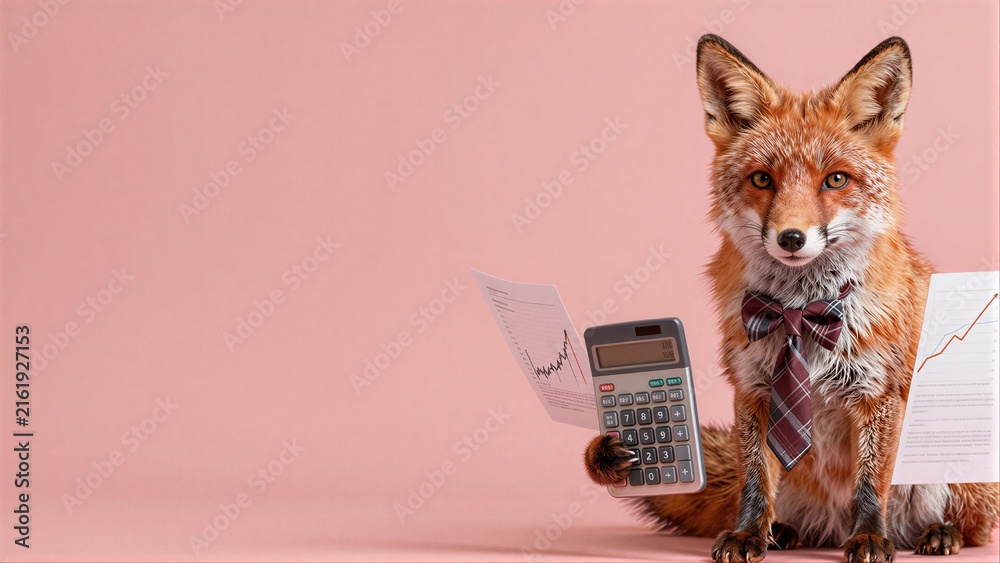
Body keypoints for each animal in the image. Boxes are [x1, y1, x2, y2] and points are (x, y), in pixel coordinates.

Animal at [583, 35, 999, 563]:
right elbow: (755, 479)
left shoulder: (878, 393)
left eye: (836, 179)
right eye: (763, 179)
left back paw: (937, 532)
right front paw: (748, 533)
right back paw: (783, 531)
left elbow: (870, 483)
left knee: (972, 525)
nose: (792, 238)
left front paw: (869, 537)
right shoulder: (752, 389)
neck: (801, 311)